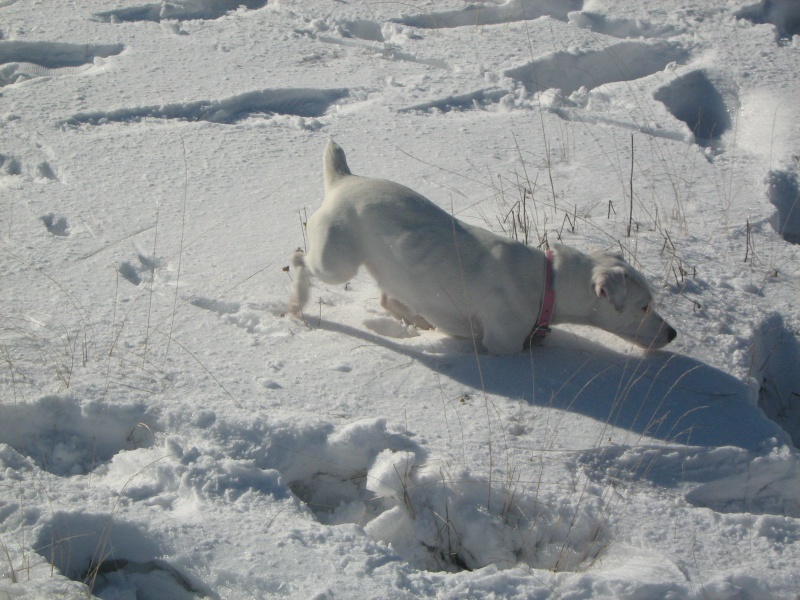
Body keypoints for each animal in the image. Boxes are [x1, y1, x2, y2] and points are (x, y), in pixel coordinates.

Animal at [290, 141, 676, 354]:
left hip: (389, 269)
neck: (547, 284)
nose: (672, 334)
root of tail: (343, 179)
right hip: (336, 263)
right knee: (300, 261)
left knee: (388, 298)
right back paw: (297, 302)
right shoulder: (503, 343)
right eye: (643, 306)